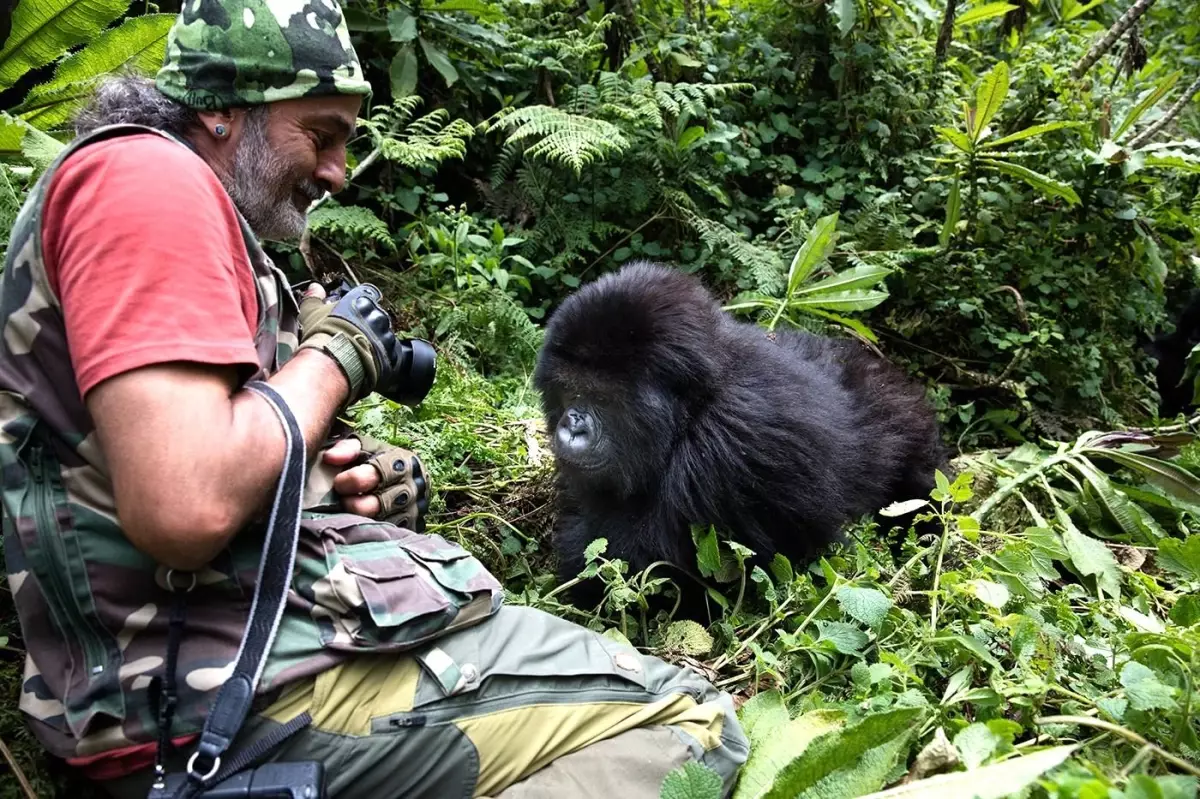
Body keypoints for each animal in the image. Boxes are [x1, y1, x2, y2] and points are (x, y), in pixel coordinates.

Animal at [535, 257, 945, 611]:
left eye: (602, 398)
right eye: (571, 390)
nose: (573, 424)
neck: (695, 404)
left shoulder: (734, 439)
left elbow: (647, 564)